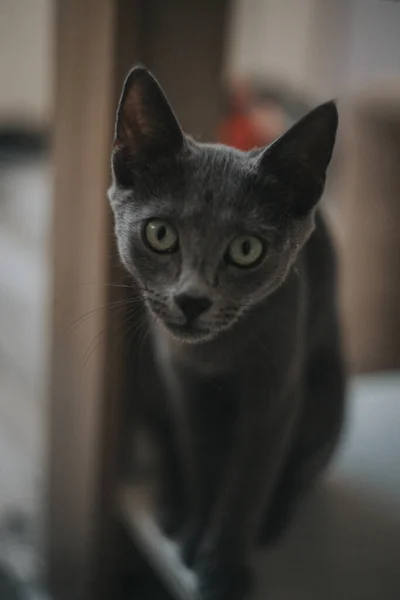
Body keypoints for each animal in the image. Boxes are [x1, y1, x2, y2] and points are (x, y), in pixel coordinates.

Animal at [108, 68, 346, 600]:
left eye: (246, 249)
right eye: (160, 234)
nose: (192, 300)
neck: (216, 355)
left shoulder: (275, 396)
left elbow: (246, 483)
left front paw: (222, 569)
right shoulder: (182, 382)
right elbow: (201, 461)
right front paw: (195, 538)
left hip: (326, 397)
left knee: (302, 469)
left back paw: (273, 522)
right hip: (149, 383)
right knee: (170, 447)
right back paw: (171, 513)